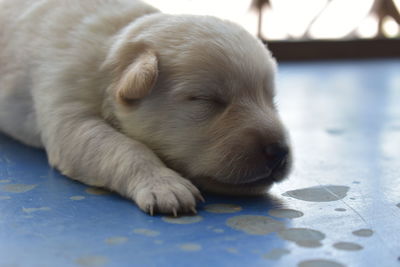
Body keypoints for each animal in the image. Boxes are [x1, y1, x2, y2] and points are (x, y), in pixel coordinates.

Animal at [1, 0, 292, 216]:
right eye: (208, 99)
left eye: (271, 99)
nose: (279, 151)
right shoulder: (67, 105)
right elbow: (121, 146)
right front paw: (164, 185)